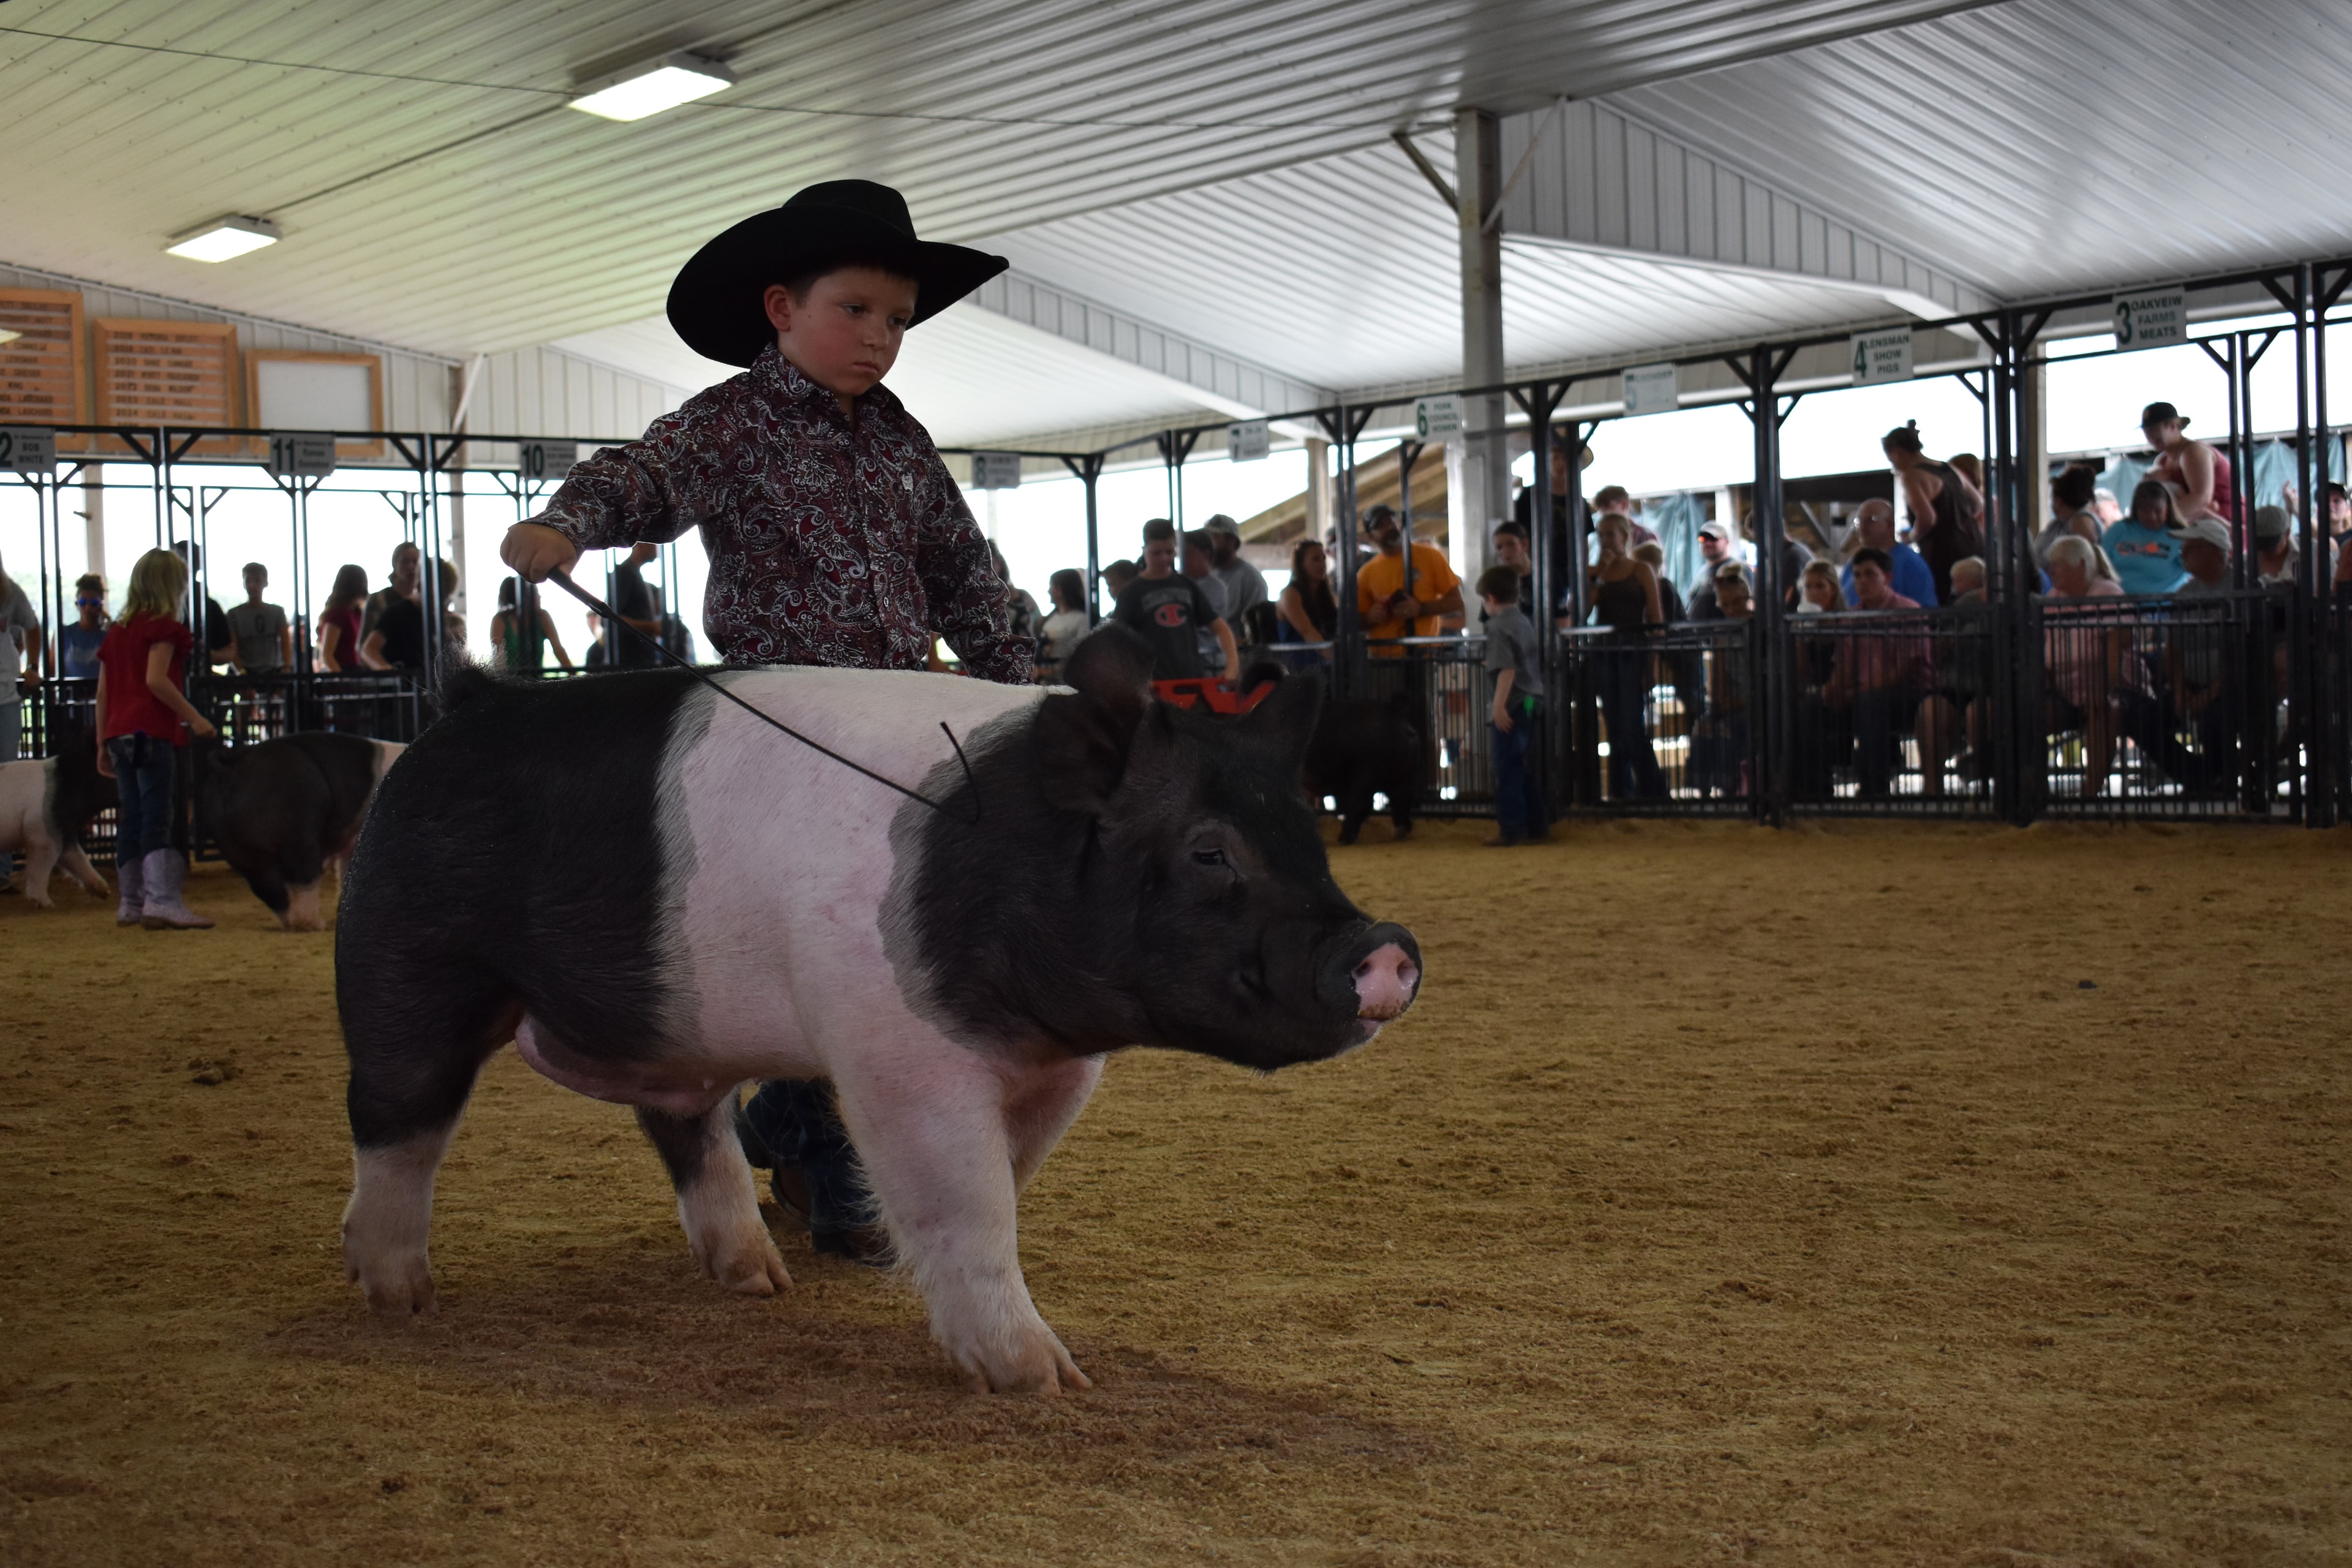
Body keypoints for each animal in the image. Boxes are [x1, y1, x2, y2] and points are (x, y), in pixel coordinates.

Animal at [0, 734, 115, 908]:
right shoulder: (42, 833)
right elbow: (41, 867)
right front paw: (46, 904)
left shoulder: (65, 831)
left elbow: (78, 858)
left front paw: (105, 892)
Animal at [195, 732, 403, 930]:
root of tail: (227, 765)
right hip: (298, 836)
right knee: (303, 875)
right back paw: (313, 924)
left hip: (239, 851)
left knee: (270, 888)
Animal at [335, 627, 1420, 1393]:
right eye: (1207, 851)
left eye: (1308, 834)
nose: (1388, 948)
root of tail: (466, 705)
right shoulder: (898, 1054)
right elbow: (968, 1198)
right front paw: (1047, 1379)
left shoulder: (1057, 1071)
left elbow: (1003, 1187)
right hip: (407, 956)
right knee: (397, 1119)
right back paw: (400, 1298)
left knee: (690, 1129)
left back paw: (759, 1280)